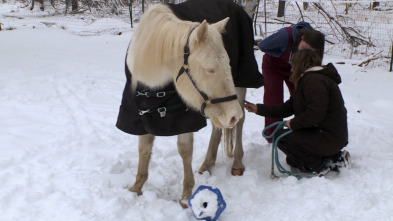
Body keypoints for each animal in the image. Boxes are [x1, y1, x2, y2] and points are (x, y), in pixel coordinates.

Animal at [124, 3, 243, 207]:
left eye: (229, 64)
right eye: (209, 69)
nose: (233, 115)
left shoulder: (184, 118)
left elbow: (185, 150)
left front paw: (186, 197)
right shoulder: (139, 114)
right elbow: (144, 148)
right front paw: (136, 189)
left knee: (240, 125)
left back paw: (236, 163)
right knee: (217, 128)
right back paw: (207, 164)